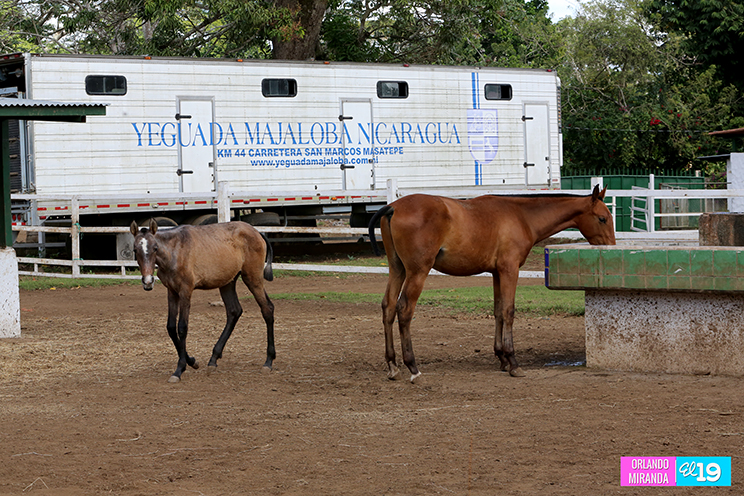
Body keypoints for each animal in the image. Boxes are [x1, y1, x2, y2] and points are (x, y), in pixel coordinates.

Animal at [130, 219, 276, 383]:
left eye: (155, 248)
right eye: (135, 250)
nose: (148, 281)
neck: (174, 251)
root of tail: (257, 232)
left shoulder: (185, 291)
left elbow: (182, 327)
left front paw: (179, 369)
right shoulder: (172, 292)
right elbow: (171, 327)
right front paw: (192, 361)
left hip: (253, 278)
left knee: (267, 308)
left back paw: (268, 361)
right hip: (227, 282)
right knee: (234, 311)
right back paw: (213, 359)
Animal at [368, 185, 615, 382]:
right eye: (602, 218)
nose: (611, 246)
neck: (522, 216)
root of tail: (393, 207)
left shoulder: (497, 273)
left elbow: (497, 311)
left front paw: (502, 358)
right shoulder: (510, 270)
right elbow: (508, 312)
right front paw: (513, 362)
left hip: (397, 270)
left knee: (388, 307)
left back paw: (393, 365)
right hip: (417, 272)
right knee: (404, 310)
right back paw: (413, 367)